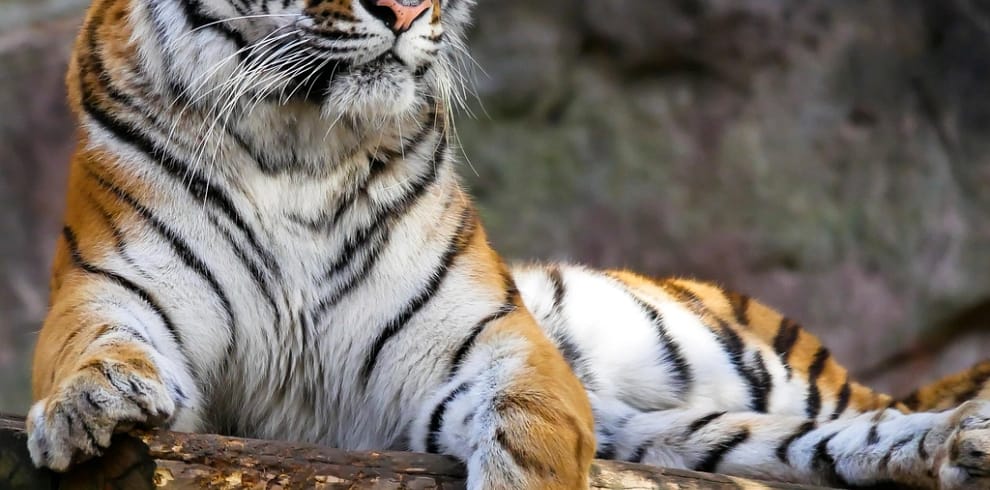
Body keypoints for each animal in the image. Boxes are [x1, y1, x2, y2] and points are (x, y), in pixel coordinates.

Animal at [24, 0, 990, 488]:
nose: (407, 5)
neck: (299, 144)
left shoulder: (495, 347)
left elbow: (528, 433)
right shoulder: (107, 289)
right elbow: (91, 348)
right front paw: (92, 405)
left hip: (730, 357)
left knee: (874, 407)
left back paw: (961, 434)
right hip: (690, 425)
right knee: (830, 441)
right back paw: (955, 448)